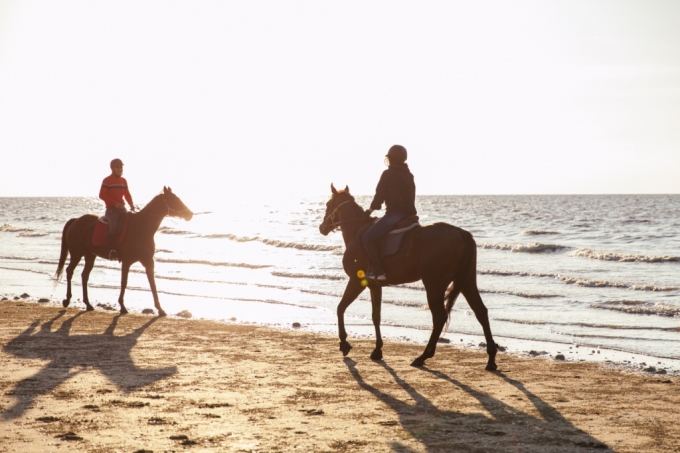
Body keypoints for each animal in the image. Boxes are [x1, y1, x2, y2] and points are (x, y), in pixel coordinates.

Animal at [54, 185, 194, 316]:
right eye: (174, 200)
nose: (190, 214)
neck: (141, 227)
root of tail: (76, 221)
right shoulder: (127, 262)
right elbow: (124, 282)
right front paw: (122, 306)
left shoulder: (148, 261)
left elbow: (152, 284)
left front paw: (160, 309)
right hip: (76, 253)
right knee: (69, 271)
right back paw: (67, 300)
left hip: (90, 255)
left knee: (84, 275)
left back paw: (88, 304)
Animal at [318, 185, 500, 370]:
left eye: (328, 204)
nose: (322, 227)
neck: (356, 232)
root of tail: (463, 234)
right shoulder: (375, 286)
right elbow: (376, 316)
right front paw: (377, 350)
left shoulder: (356, 282)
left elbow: (340, 308)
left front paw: (344, 343)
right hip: (466, 282)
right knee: (481, 311)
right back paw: (491, 358)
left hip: (434, 284)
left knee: (440, 317)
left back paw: (423, 356)